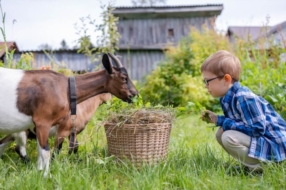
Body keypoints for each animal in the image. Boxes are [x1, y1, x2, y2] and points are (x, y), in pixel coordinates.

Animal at [0, 52, 137, 177]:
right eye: (124, 78)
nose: (135, 94)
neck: (66, 88)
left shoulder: (70, 131)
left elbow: (70, 148)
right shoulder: (46, 124)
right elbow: (48, 151)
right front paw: (46, 176)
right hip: (21, 131)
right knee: (20, 148)